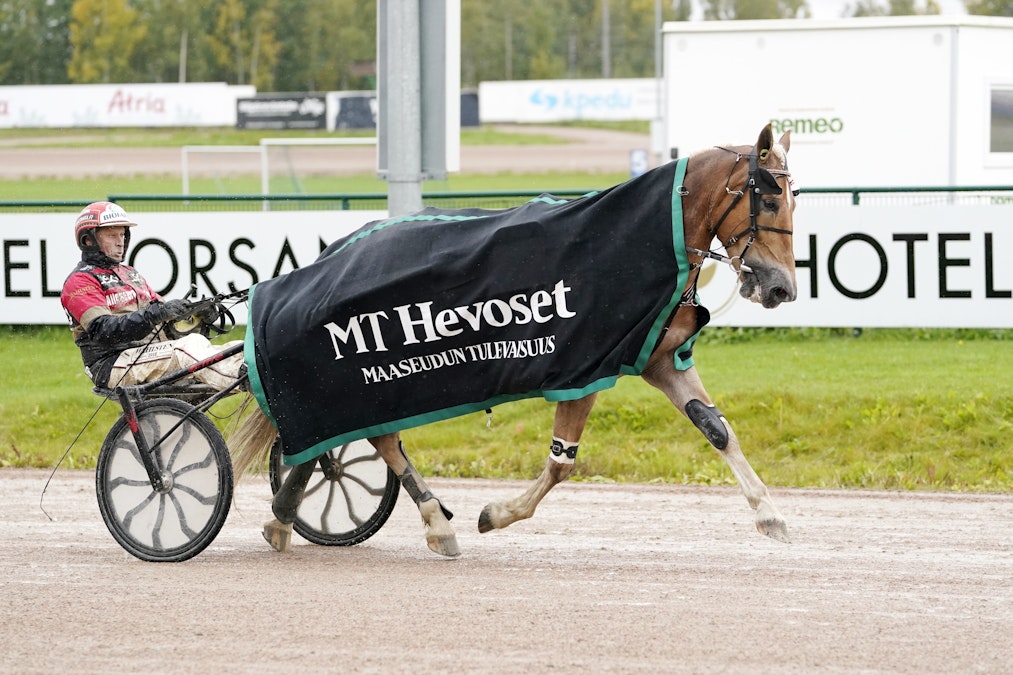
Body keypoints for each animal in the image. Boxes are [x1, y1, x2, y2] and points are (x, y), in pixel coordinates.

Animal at [229, 123, 798, 555]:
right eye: (770, 199)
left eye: (794, 198)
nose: (782, 288)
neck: (651, 241)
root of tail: (337, 249)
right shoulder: (584, 369)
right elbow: (561, 463)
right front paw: (498, 513)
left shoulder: (660, 359)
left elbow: (719, 432)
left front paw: (769, 513)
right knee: (375, 438)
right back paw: (433, 520)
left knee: (345, 434)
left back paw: (286, 515)